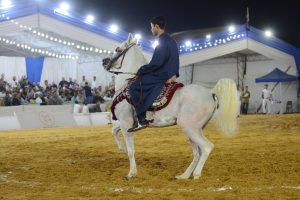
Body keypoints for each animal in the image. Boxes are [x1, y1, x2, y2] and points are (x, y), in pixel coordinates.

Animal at [103, 33, 239, 180]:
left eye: (117, 49)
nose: (104, 61)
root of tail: (210, 92)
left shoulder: (125, 122)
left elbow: (131, 150)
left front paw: (131, 173)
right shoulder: (126, 123)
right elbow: (113, 131)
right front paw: (121, 148)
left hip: (189, 127)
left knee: (206, 147)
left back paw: (196, 174)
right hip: (194, 129)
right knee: (197, 153)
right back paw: (184, 175)